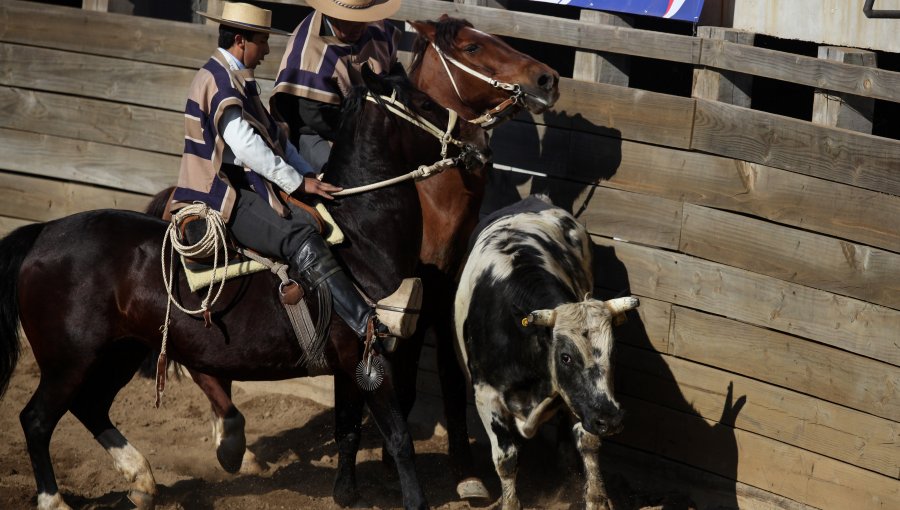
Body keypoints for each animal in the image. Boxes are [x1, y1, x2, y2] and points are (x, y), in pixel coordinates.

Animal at [0, 63, 464, 510]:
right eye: (424, 102)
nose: (470, 140)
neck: (361, 237)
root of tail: (43, 234)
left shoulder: (350, 366)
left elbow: (348, 431)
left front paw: (347, 495)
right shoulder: (369, 357)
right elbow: (399, 437)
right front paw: (416, 501)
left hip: (119, 351)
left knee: (90, 406)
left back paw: (143, 482)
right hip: (69, 360)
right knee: (36, 419)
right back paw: (55, 499)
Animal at [143, 16, 560, 502]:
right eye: (472, 46)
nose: (547, 78)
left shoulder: (439, 302)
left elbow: (448, 380)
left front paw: (464, 473)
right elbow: (400, 389)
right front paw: (391, 466)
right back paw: (231, 440)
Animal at [454, 195, 636, 510]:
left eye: (613, 353)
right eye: (565, 357)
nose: (611, 420)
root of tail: (534, 198)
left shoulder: (580, 399)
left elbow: (588, 441)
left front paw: (596, 499)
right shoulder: (485, 395)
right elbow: (506, 458)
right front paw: (510, 503)